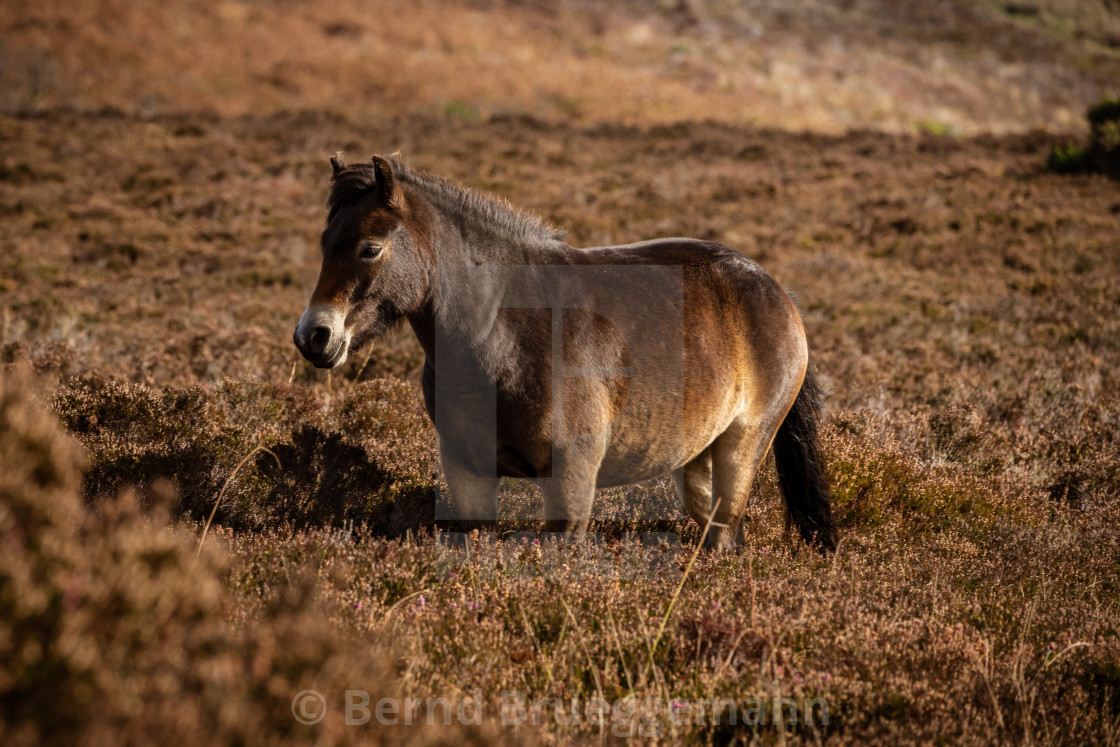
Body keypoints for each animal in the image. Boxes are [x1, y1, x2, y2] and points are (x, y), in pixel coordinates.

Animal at [293, 152, 837, 553]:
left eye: (370, 248)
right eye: (323, 243)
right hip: (698, 455)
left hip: (742, 446)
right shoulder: (468, 474)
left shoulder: (570, 482)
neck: (503, 335)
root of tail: (777, 292)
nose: (313, 336)